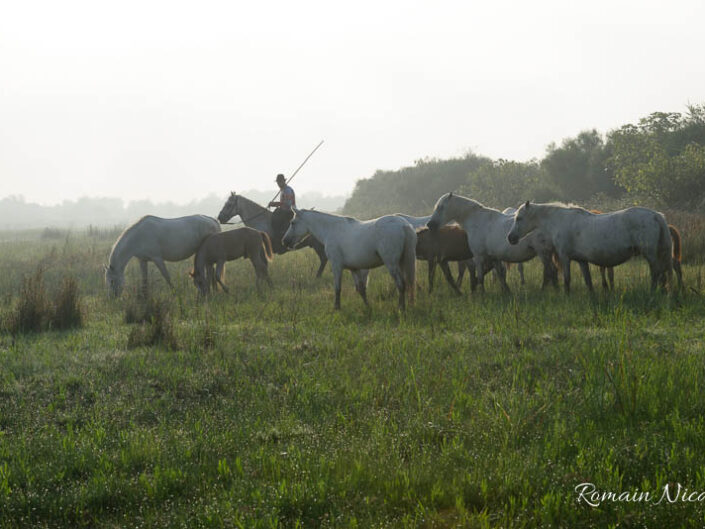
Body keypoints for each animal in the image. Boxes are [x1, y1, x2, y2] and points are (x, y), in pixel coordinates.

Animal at [282, 208, 416, 310]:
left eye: (292, 222)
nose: (285, 241)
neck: (331, 230)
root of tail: (404, 225)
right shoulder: (354, 268)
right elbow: (361, 289)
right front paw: (368, 307)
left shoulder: (336, 265)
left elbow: (338, 288)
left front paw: (337, 308)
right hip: (401, 262)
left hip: (391, 264)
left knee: (401, 284)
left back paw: (401, 309)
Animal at [426, 192, 560, 290]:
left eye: (441, 207)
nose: (430, 225)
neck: (476, 220)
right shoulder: (494, 257)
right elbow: (500, 276)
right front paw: (506, 292)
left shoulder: (478, 257)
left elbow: (480, 278)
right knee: (551, 273)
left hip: (543, 253)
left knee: (551, 272)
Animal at [506, 200, 672, 290]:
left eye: (519, 218)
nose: (510, 238)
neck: (560, 220)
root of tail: (656, 215)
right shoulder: (581, 261)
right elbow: (588, 281)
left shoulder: (565, 257)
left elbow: (567, 280)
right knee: (663, 274)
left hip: (650, 254)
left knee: (656, 273)